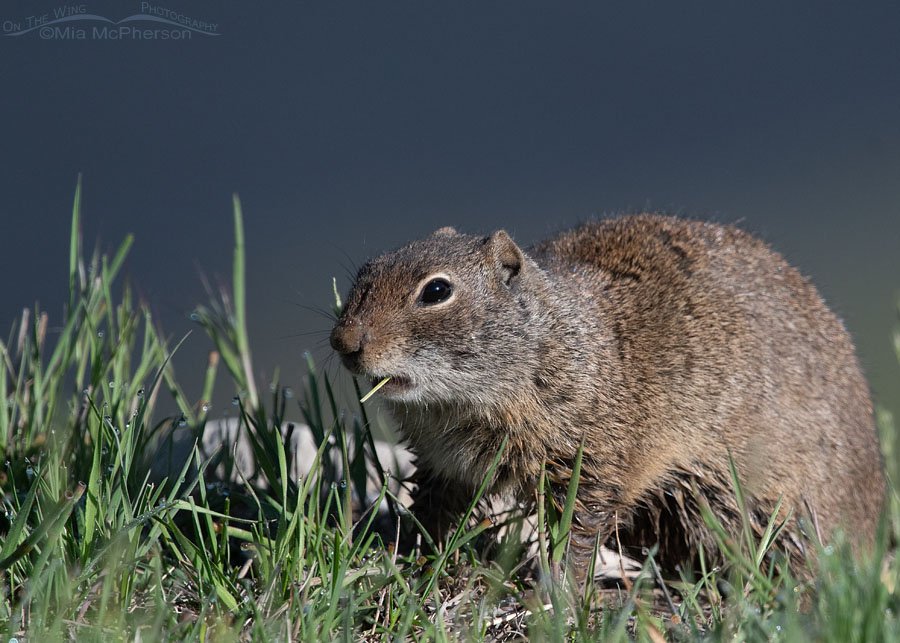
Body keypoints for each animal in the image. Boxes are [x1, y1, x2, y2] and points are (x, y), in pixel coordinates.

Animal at [330, 214, 885, 581]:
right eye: (364, 273)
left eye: (436, 291)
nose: (343, 342)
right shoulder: (443, 463)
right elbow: (432, 509)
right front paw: (407, 556)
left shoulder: (591, 460)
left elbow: (577, 528)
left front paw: (558, 593)